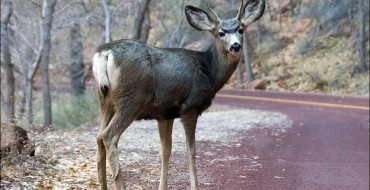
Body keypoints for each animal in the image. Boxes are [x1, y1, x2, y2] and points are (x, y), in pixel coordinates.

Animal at [92, 0, 266, 189]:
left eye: (240, 29)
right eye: (221, 33)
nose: (235, 46)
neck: (210, 70)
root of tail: (105, 53)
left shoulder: (165, 113)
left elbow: (166, 150)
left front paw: (162, 186)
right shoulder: (190, 106)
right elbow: (191, 149)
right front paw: (195, 186)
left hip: (105, 102)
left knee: (99, 137)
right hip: (132, 99)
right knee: (108, 136)